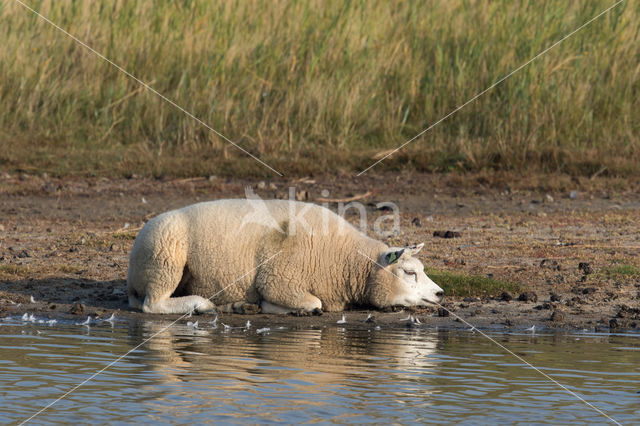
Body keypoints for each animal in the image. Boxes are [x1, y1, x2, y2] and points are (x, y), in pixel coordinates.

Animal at [127, 198, 442, 314]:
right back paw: (202, 304)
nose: (440, 294)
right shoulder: (279, 280)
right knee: (153, 304)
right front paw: (277, 307)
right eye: (409, 273)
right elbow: (314, 304)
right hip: (166, 257)